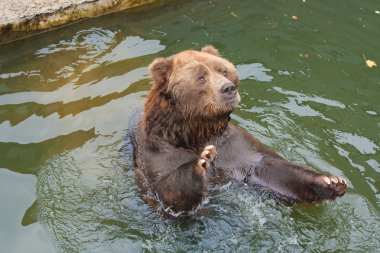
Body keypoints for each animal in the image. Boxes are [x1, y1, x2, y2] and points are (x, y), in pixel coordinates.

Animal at [131, 45, 348, 213]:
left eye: (223, 70)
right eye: (201, 77)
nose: (228, 88)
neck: (195, 132)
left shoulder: (233, 145)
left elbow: (269, 169)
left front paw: (330, 182)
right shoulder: (158, 153)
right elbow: (169, 191)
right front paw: (202, 161)